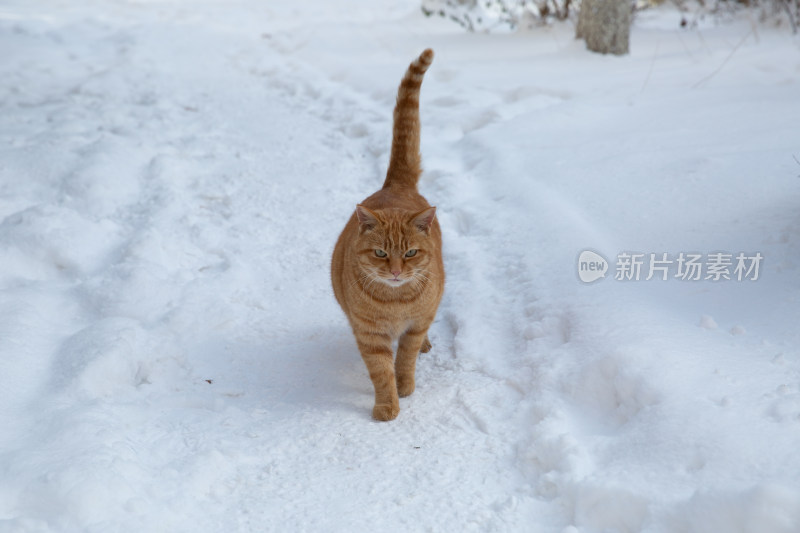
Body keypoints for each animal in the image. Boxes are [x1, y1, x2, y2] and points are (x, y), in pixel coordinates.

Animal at [330, 51, 444, 424]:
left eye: (410, 253)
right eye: (380, 253)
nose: (395, 271)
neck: (395, 303)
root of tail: (395, 185)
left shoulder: (414, 326)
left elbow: (405, 359)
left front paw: (404, 386)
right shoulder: (369, 335)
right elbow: (381, 371)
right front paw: (386, 405)